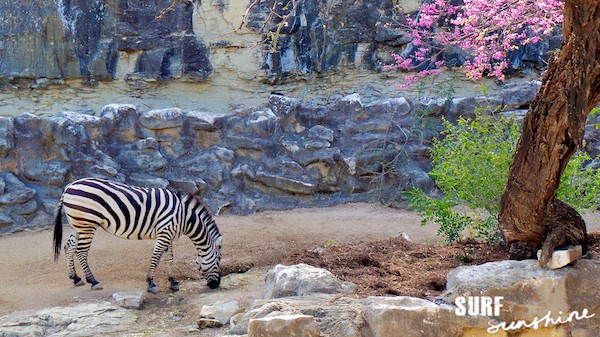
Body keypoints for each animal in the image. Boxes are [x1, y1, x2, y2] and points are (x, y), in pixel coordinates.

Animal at [52, 176, 223, 292]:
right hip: (87, 224)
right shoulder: (164, 233)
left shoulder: (169, 234)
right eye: (219, 260)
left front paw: (173, 281)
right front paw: (151, 283)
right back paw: (93, 281)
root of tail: (69, 187)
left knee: (69, 247)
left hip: (78, 224)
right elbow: (156, 257)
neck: (184, 217)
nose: (217, 285)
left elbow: (169, 258)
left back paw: (75, 278)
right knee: (81, 251)